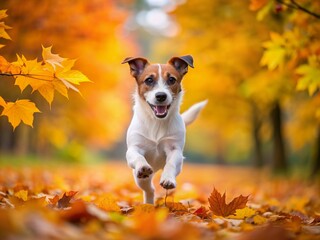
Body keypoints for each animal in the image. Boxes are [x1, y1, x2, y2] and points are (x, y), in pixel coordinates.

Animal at [121, 55, 206, 203]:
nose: (161, 95)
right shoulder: (134, 148)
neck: (157, 122)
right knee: (149, 189)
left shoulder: (175, 150)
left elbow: (171, 163)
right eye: (149, 80)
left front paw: (168, 179)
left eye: (171, 79)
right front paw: (142, 166)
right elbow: (137, 156)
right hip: (139, 179)